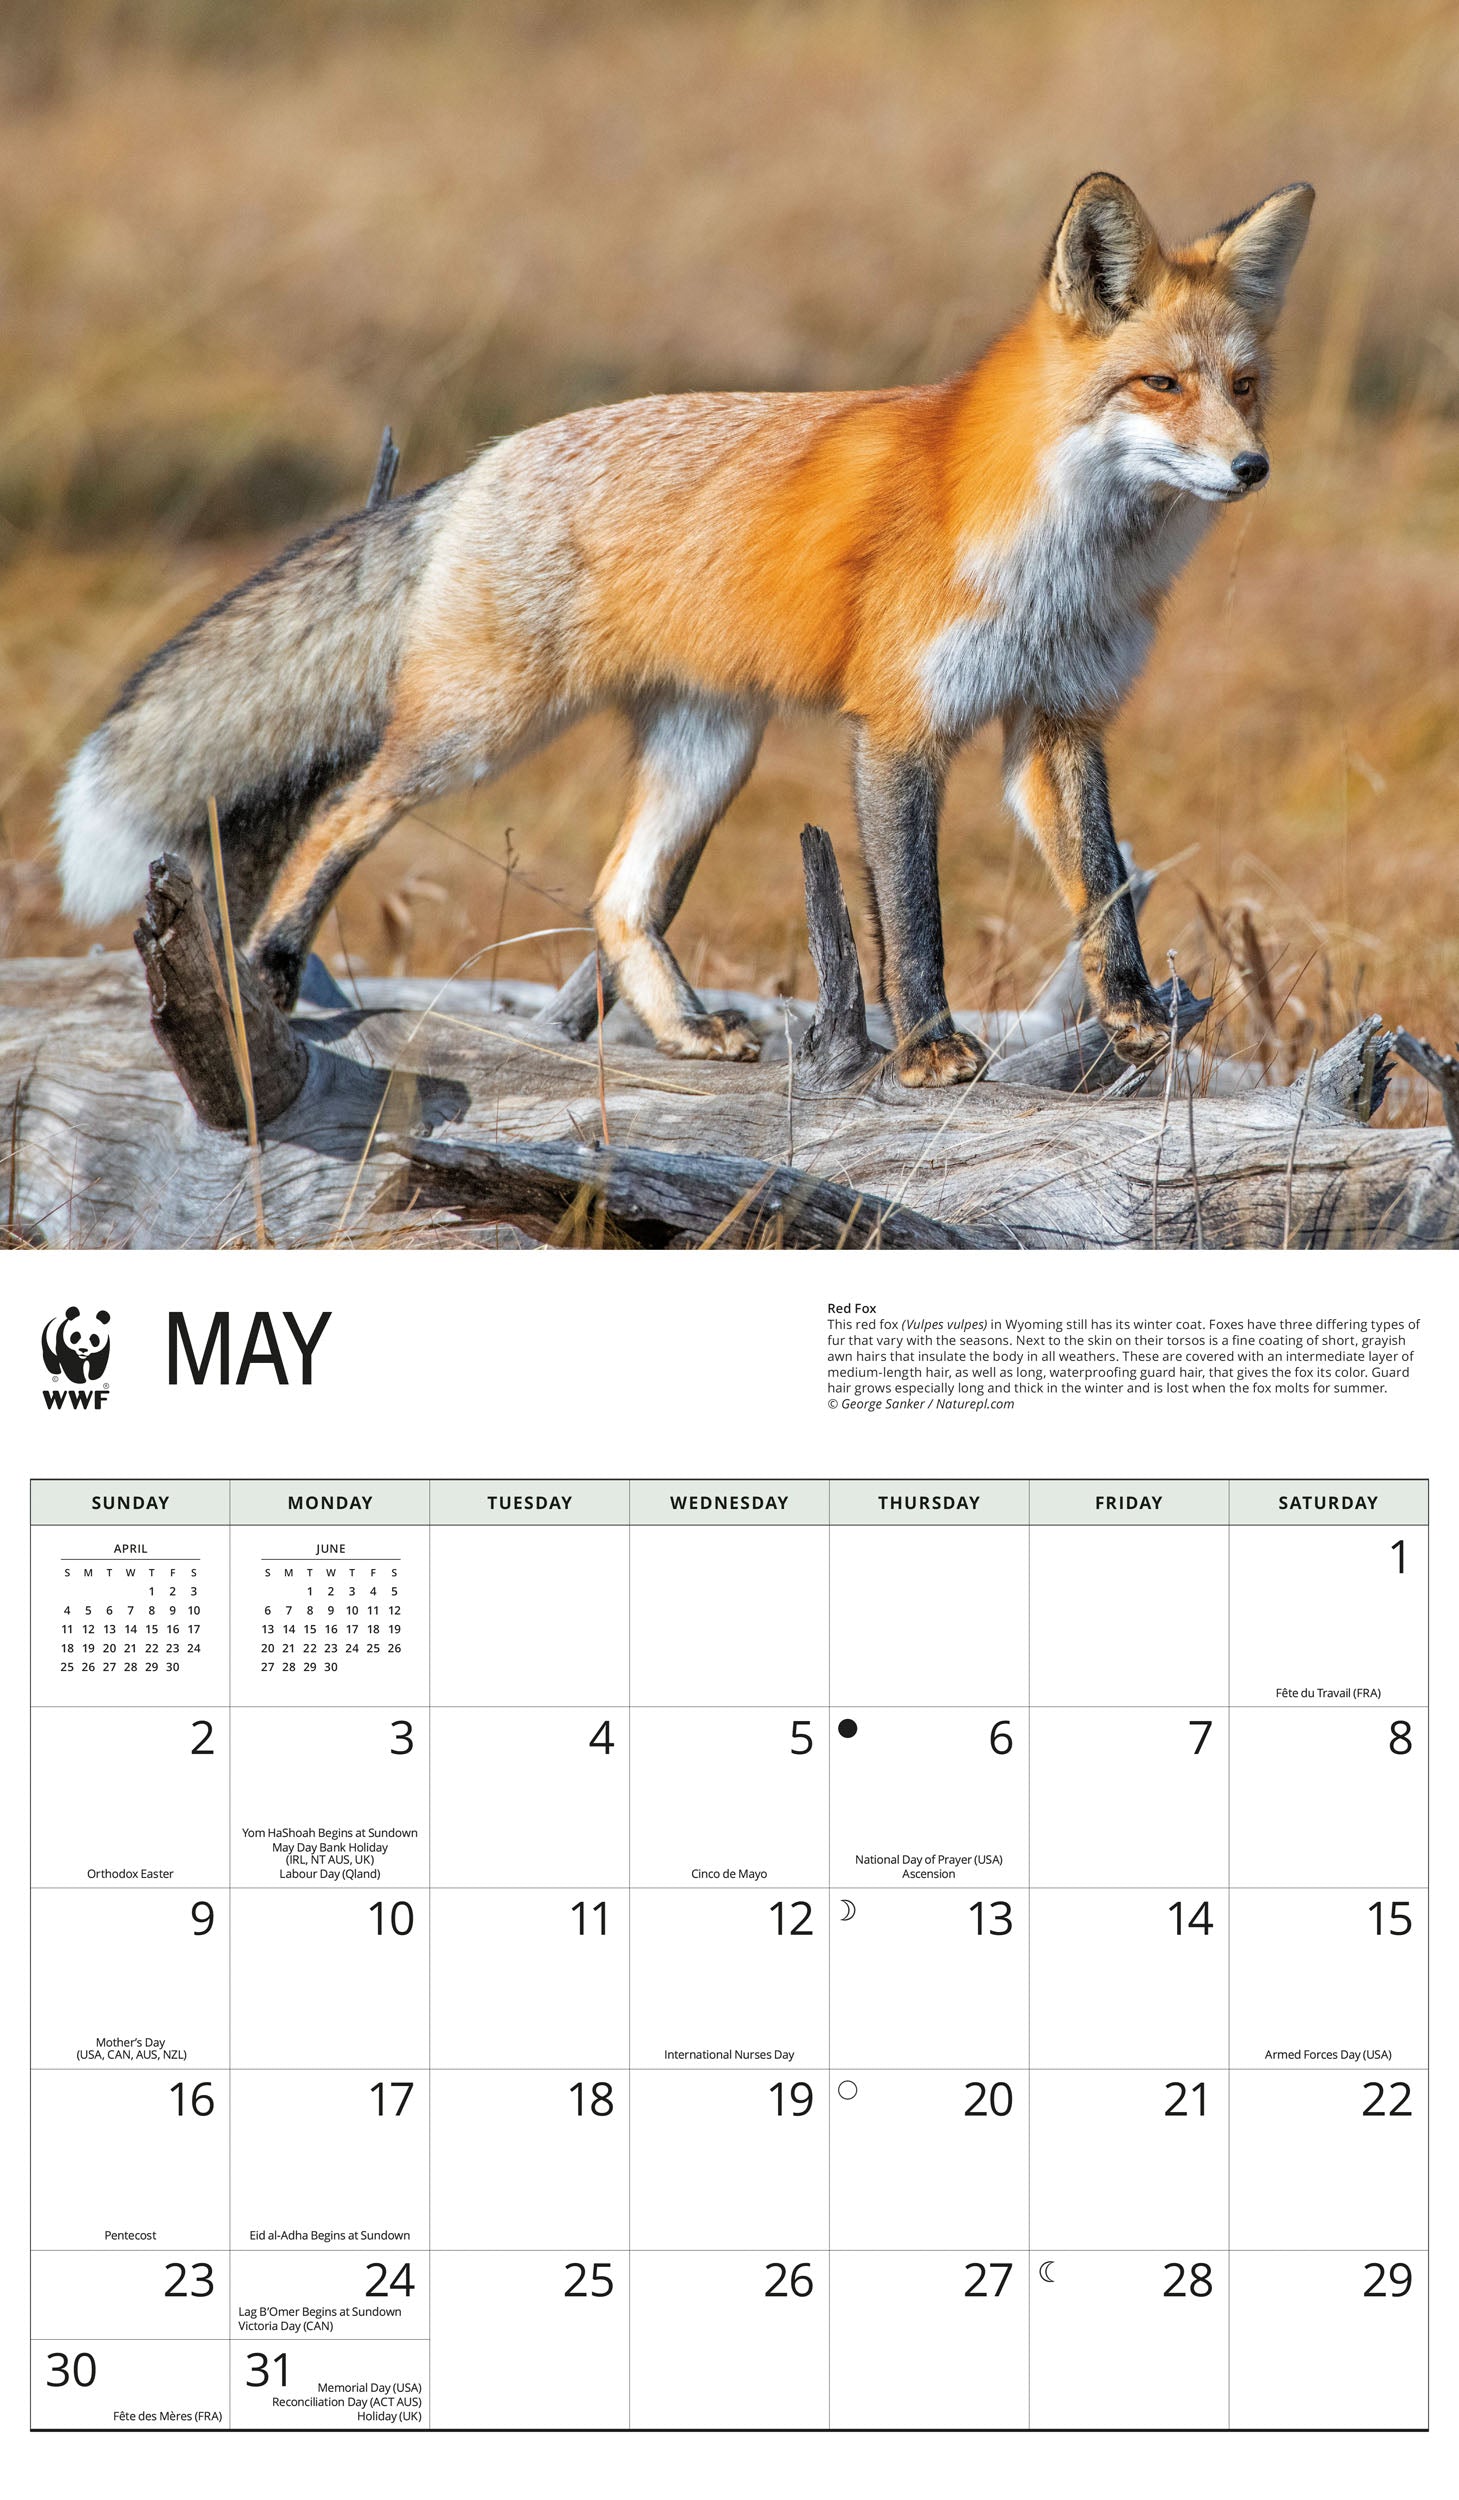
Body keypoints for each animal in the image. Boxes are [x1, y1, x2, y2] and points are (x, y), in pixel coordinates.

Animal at [55, 171, 1312, 1082]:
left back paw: (683, 1032)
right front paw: (925, 1049)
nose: (1251, 469)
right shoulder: (900, 727)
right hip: (479, 732)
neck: (1063, 559)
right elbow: (912, 914)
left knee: (616, 899)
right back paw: (268, 965)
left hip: (708, 751)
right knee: (335, 812)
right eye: (1159, 385)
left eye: (1244, 386)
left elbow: (1099, 885)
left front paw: (1131, 1013)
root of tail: (483, 463)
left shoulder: (1056, 723)